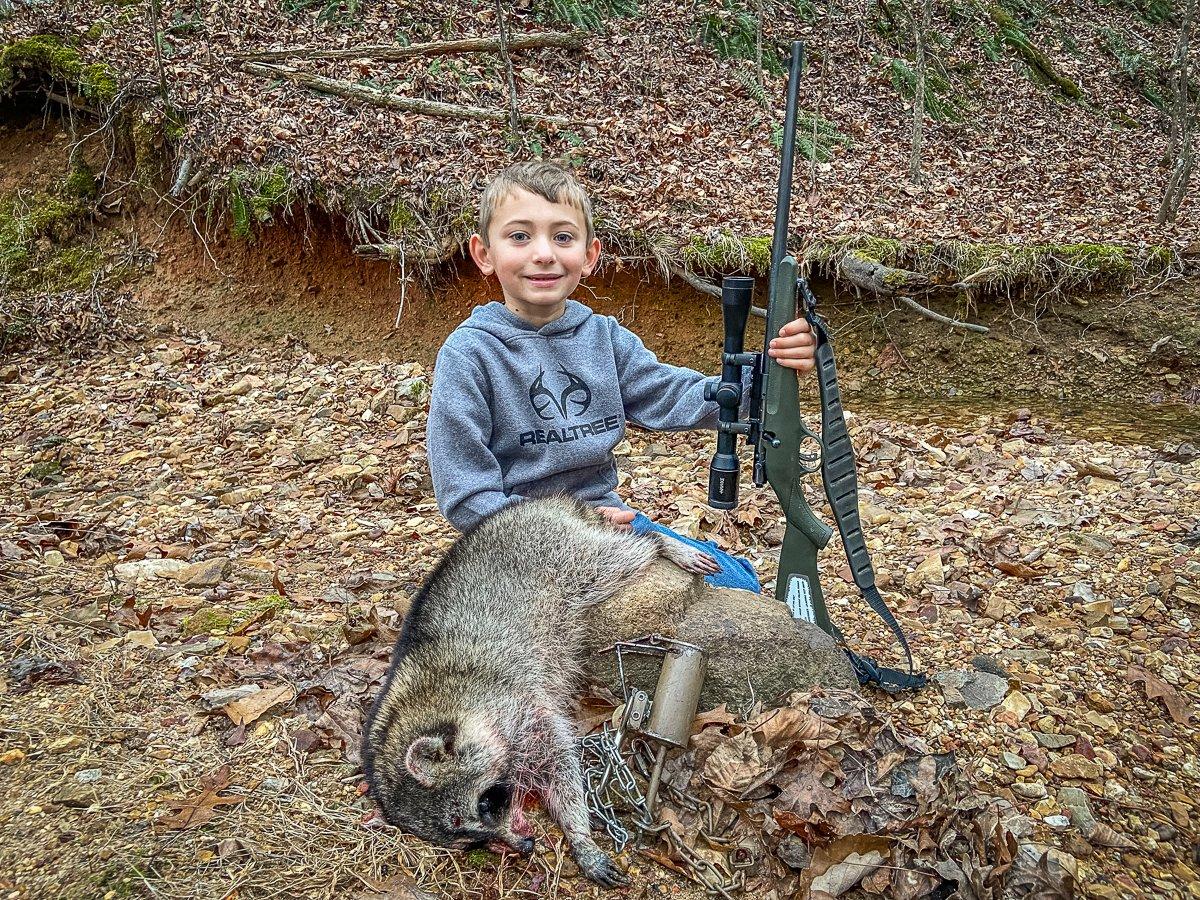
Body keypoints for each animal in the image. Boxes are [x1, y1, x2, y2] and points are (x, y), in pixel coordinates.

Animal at [355, 496, 710, 892]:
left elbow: (561, 761)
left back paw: (662, 544)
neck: (428, 706)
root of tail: (537, 503)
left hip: (563, 553)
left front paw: (578, 832)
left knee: (620, 555)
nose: (525, 845)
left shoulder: (513, 702)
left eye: (486, 803)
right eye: (472, 840)